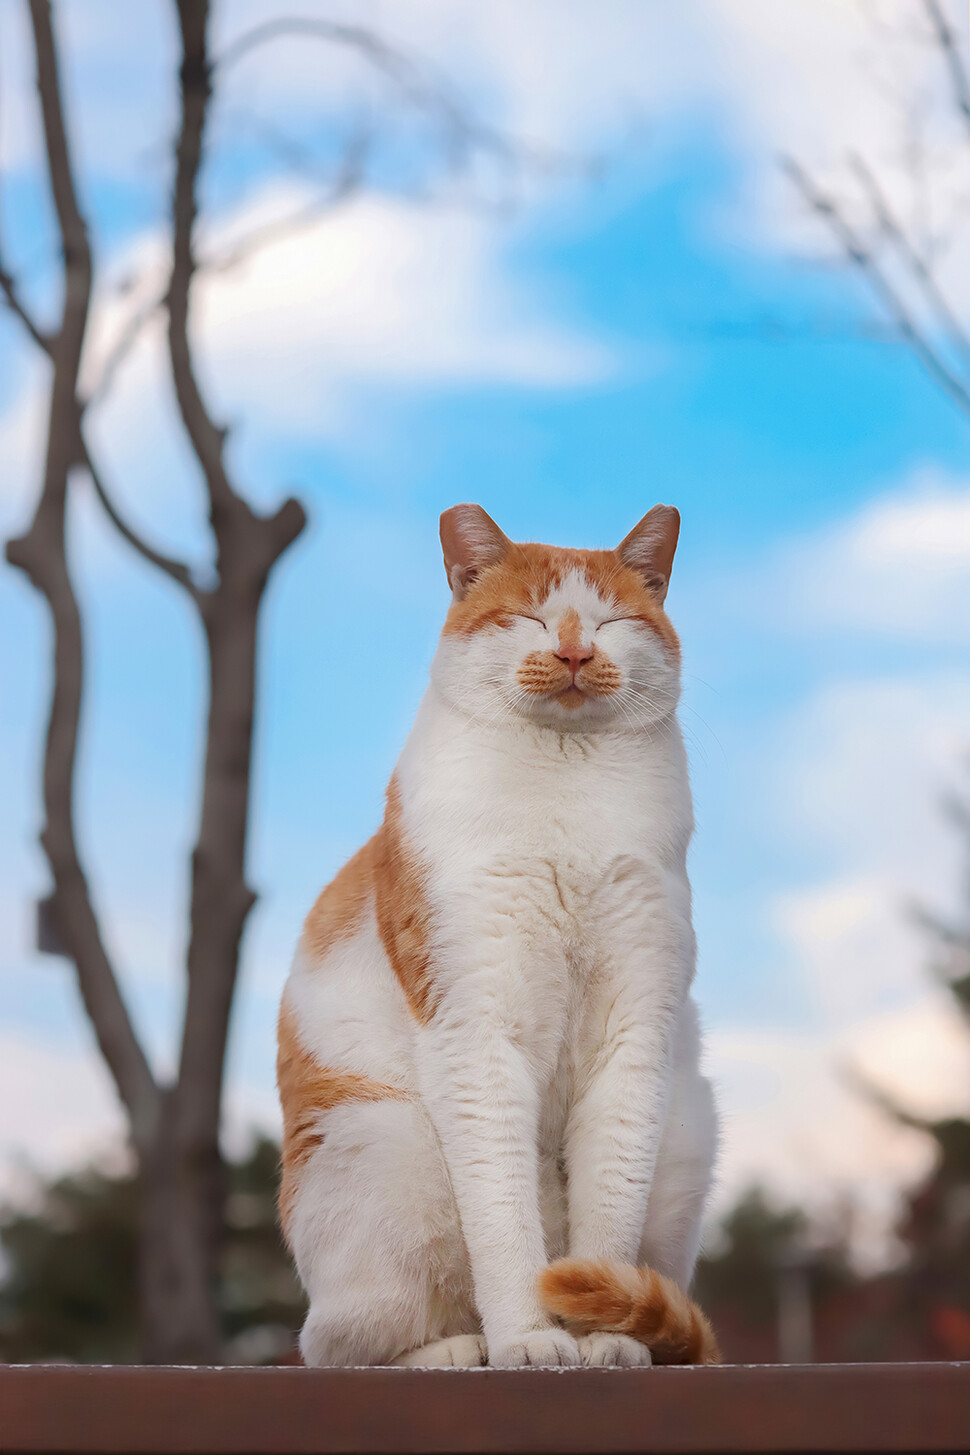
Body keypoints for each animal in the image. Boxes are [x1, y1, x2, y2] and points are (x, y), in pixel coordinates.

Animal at [276, 506, 718, 1367]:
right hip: (389, 1149)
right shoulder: (475, 1031)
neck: (567, 788)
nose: (575, 651)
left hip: (686, 1133)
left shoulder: (633, 1030)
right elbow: (504, 1222)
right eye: (528, 617)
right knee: (337, 1342)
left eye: (610, 621)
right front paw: (529, 1338)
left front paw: (603, 1332)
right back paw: (460, 1348)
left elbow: (606, 1221)